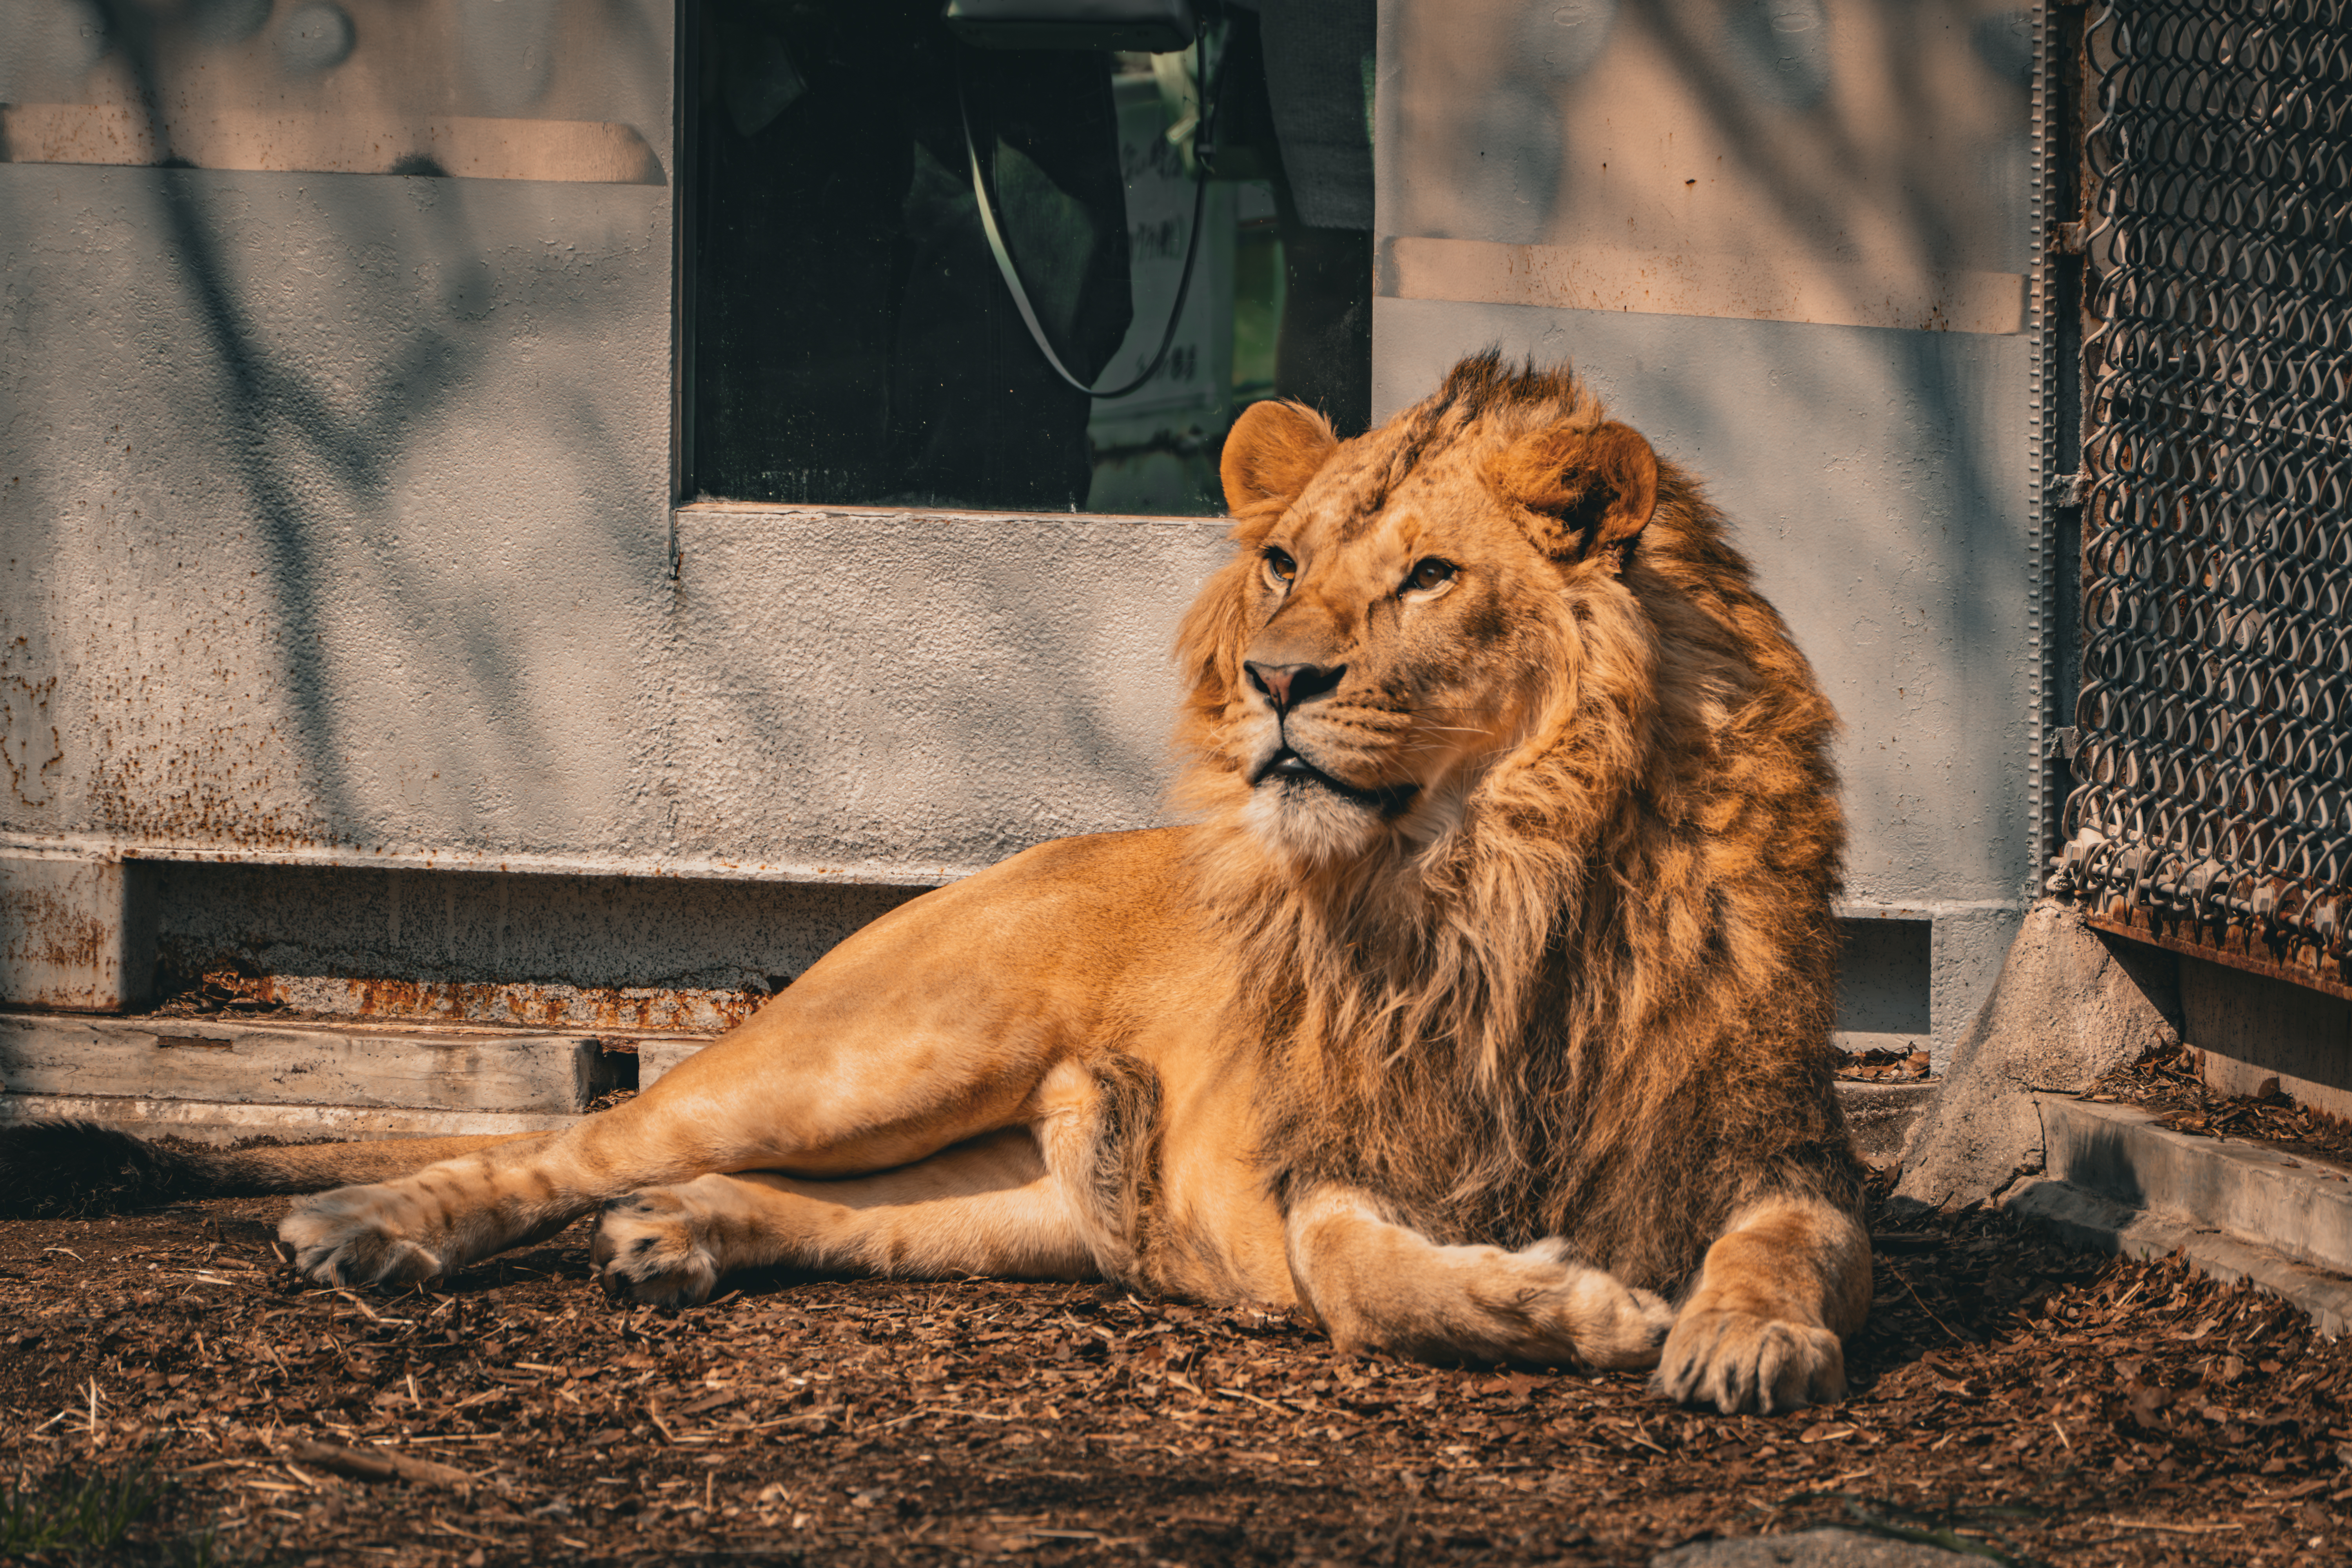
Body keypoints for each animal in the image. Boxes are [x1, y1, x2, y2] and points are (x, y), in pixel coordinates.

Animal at [7, 353, 1868, 1414]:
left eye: (1424, 575)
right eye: (1281, 560)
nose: (1275, 678)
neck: (1498, 875)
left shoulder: (1780, 1136)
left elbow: (1783, 1246)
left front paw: (1737, 1336)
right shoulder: (1315, 1153)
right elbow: (1366, 1270)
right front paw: (1572, 1303)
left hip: (1029, 1195)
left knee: (811, 1206)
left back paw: (675, 1239)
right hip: (879, 1049)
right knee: (589, 1137)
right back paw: (373, 1223)